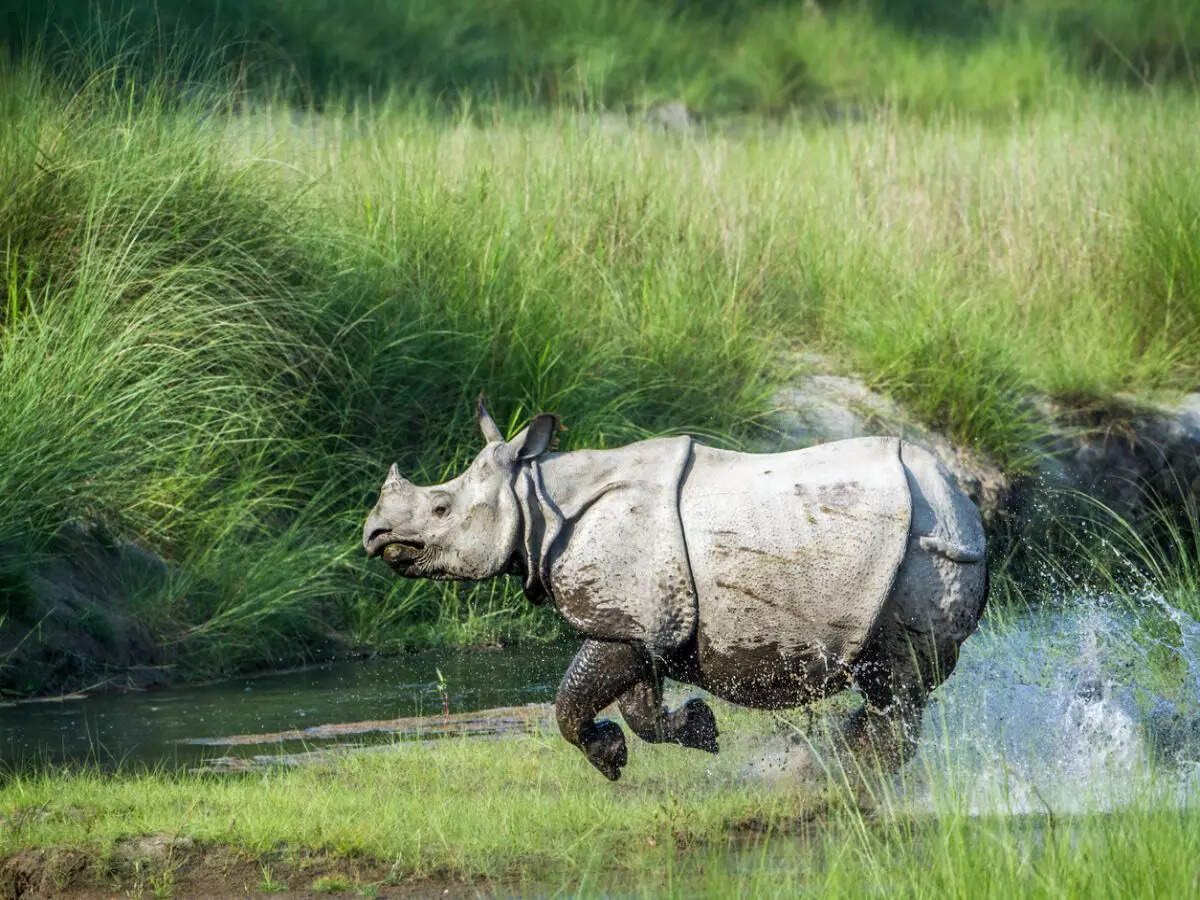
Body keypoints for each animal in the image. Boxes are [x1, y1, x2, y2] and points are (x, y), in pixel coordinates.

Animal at [362, 399, 988, 781]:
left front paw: (612, 759)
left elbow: (571, 697)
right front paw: (693, 732)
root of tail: (965, 502)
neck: (537, 496)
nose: (374, 535)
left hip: (922, 551)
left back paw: (845, 773)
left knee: (897, 677)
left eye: (441, 509)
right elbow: (638, 705)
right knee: (887, 685)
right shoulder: (642, 622)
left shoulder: (630, 618)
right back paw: (838, 759)